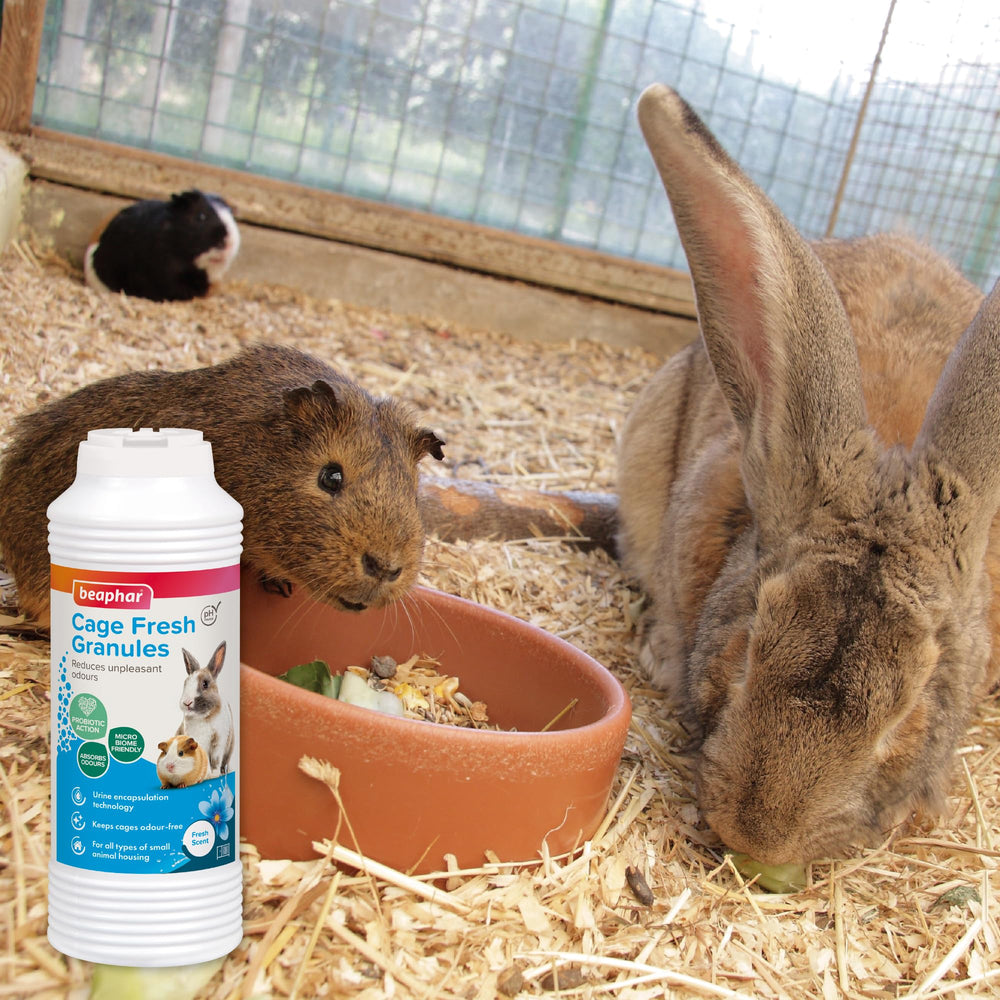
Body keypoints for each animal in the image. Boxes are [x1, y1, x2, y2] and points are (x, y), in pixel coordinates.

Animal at [178, 641, 234, 779]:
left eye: (205, 684)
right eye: (185, 683)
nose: (187, 702)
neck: (203, 716)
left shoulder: (219, 743)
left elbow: (216, 761)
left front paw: (214, 775)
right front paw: (206, 775)